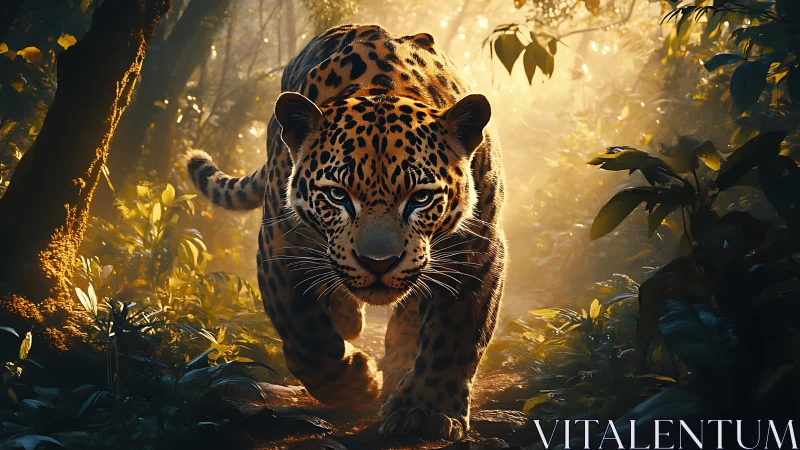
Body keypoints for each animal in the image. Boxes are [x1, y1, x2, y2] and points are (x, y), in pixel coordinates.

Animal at [185, 24, 507, 441]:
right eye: (338, 195)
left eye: (420, 198)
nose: (378, 263)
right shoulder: (278, 249)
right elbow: (306, 336)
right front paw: (358, 383)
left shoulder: (477, 251)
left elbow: (455, 334)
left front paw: (427, 410)